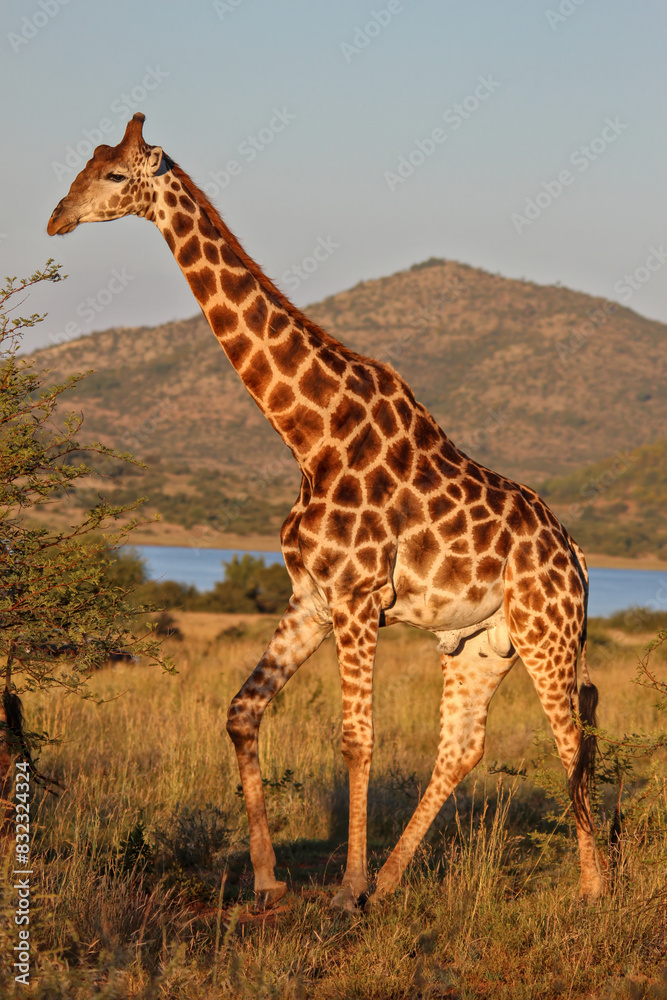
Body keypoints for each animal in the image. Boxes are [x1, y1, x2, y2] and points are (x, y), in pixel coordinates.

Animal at [48, 113, 604, 910]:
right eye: (87, 164)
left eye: (117, 175)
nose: (57, 217)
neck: (310, 435)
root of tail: (577, 556)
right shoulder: (309, 596)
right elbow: (242, 711)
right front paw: (269, 882)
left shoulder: (356, 597)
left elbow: (356, 739)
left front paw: (344, 889)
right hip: (479, 643)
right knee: (461, 747)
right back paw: (396, 880)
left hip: (547, 631)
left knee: (570, 739)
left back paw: (591, 888)